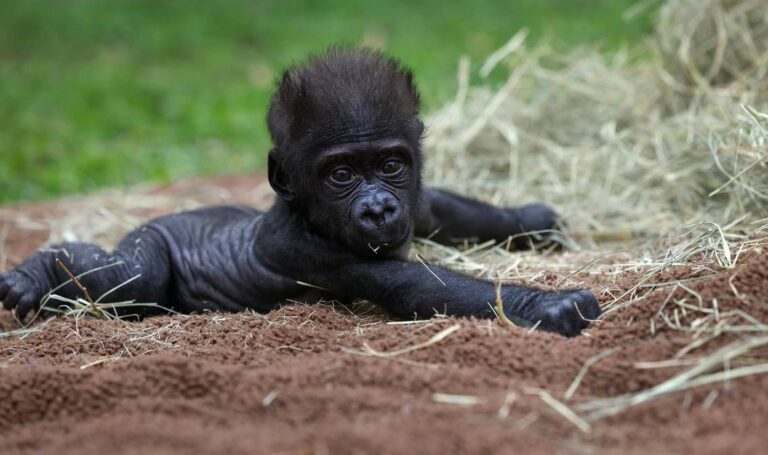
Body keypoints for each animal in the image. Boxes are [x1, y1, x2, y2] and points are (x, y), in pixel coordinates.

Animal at [0, 48, 600, 336]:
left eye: (389, 165)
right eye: (340, 176)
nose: (377, 208)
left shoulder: (415, 197)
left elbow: (443, 208)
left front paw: (528, 218)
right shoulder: (308, 250)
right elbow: (417, 287)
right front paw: (549, 306)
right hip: (151, 239)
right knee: (133, 276)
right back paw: (40, 269)